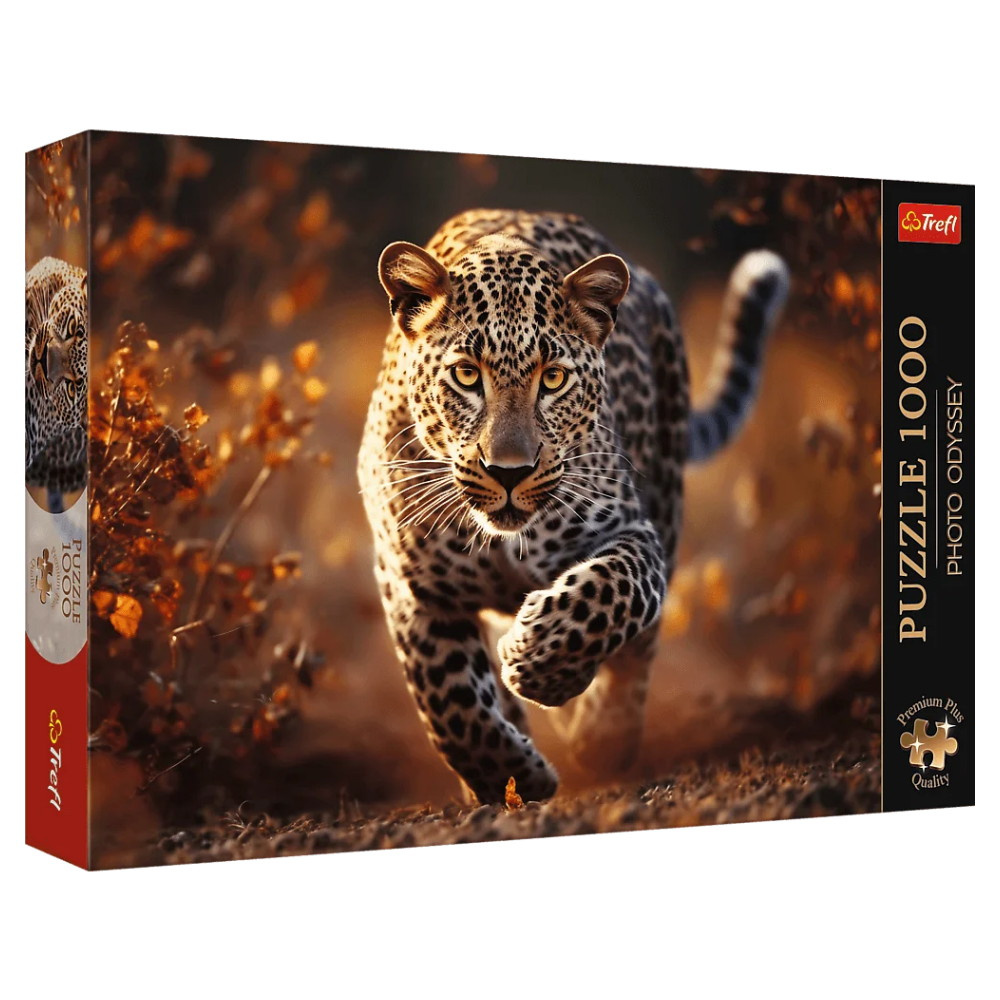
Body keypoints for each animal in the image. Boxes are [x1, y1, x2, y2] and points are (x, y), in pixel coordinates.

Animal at [358, 209, 788, 804]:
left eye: (553, 378)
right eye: (466, 375)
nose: (508, 471)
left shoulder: (633, 532)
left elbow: (611, 592)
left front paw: (538, 660)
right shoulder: (411, 585)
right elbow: (449, 700)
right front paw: (510, 777)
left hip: (668, 496)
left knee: (639, 651)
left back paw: (603, 735)